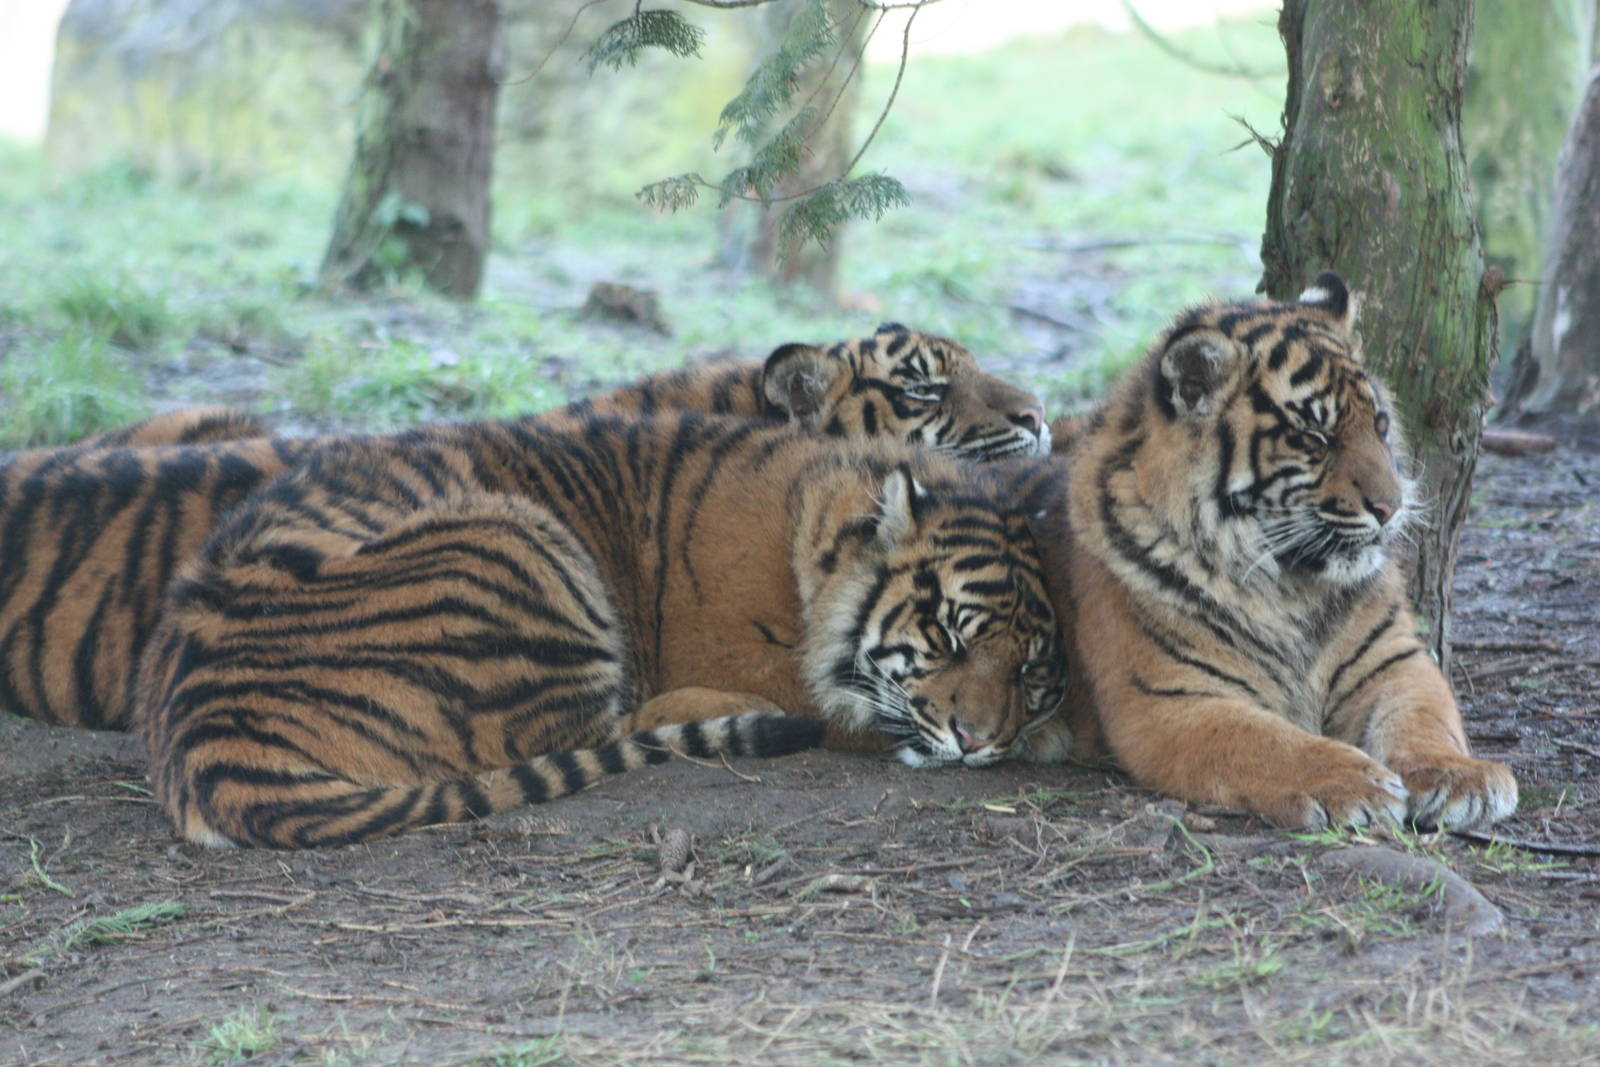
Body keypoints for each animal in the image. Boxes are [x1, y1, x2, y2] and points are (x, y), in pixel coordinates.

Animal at [132, 412, 1067, 848]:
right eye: (948, 636)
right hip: (520, 541)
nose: (981, 741)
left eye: (1029, 671)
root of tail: (197, 732)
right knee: (582, 729)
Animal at [1003, 273, 1517, 831]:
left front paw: (1458, 776)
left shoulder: (1394, 661)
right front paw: (1354, 782)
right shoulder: (1173, 697)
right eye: (1314, 436)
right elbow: (1270, 744)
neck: (1294, 589)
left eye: (1379, 424)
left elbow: (1425, 718)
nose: (1391, 507)